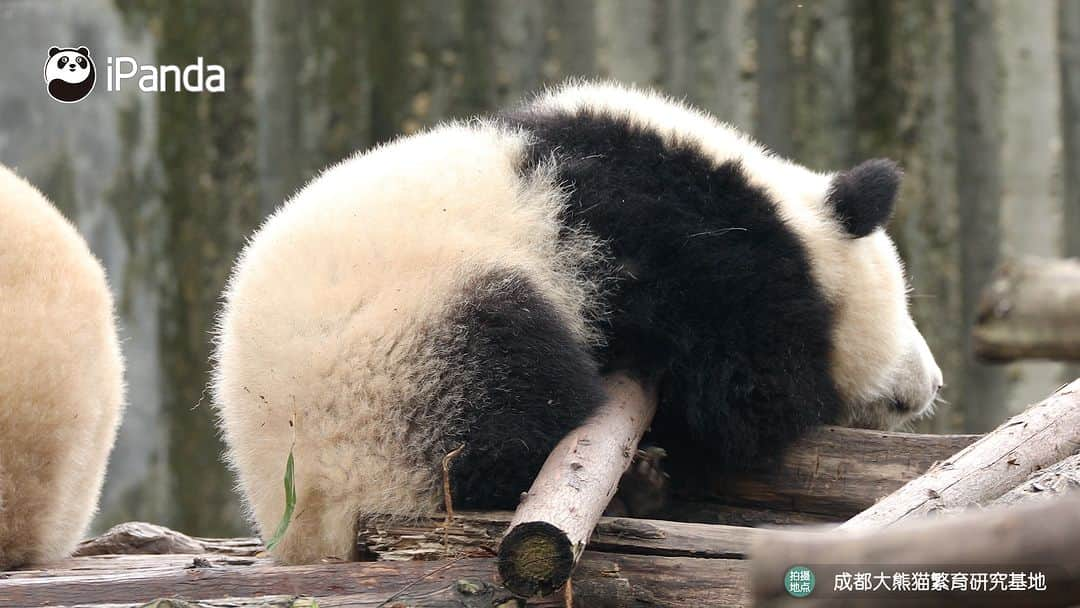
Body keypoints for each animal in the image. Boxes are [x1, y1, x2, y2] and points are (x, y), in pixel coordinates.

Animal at [210, 82, 937, 565]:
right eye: (904, 302)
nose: (930, 385)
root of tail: (298, 532)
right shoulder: (680, 249)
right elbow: (741, 399)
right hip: (390, 369)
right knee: (510, 397)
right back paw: (630, 483)